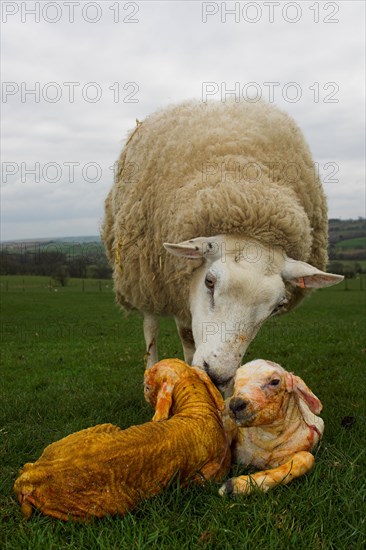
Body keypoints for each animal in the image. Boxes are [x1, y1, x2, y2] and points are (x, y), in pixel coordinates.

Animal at [102, 98, 344, 392]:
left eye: (278, 305)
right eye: (209, 282)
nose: (216, 376)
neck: (244, 195)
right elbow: (186, 336)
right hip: (144, 276)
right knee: (151, 326)